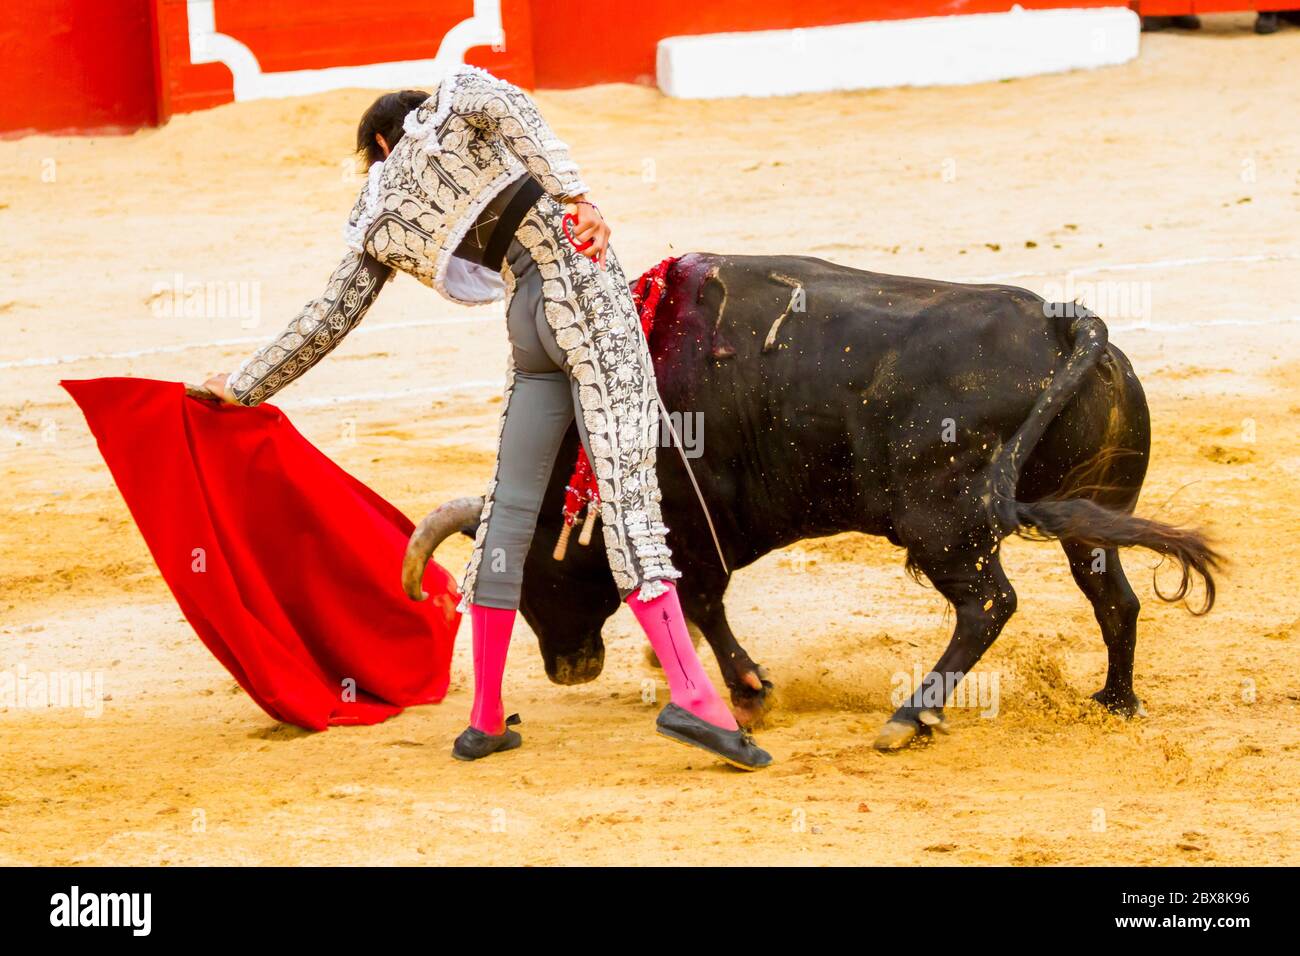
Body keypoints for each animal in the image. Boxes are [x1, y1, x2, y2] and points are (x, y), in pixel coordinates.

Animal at [403, 252, 1216, 749]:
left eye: (534, 573)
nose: (567, 670)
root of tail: (1067, 324)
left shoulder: (692, 530)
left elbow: (700, 606)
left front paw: (750, 693)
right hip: (1090, 514)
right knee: (1113, 598)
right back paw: (1115, 700)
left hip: (943, 525)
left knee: (989, 604)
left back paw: (908, 716)